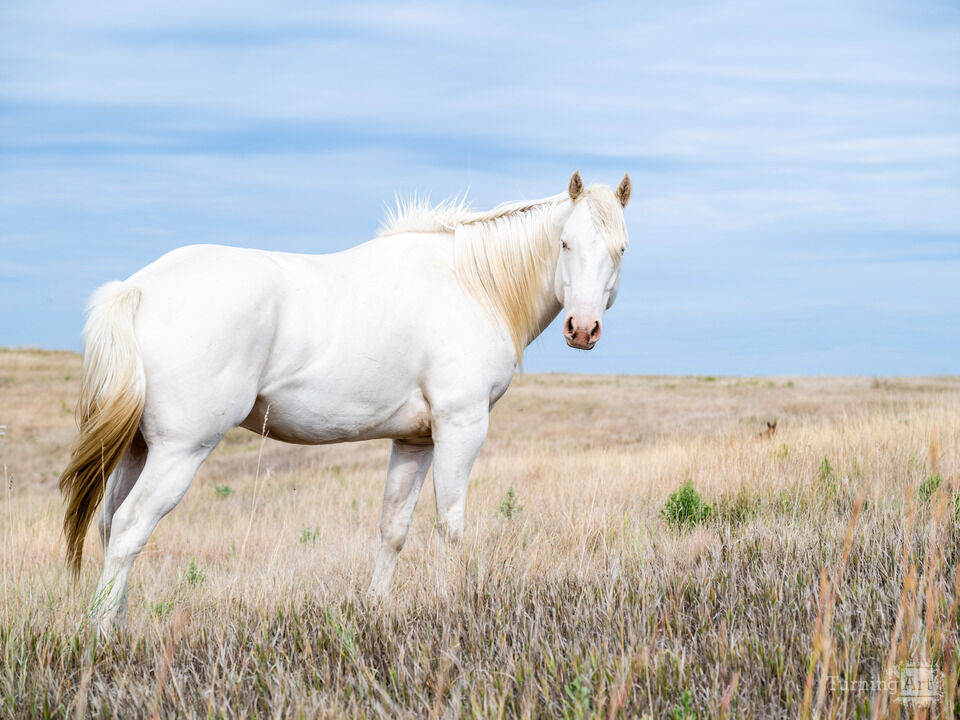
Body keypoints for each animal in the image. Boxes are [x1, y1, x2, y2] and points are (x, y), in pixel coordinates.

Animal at [58, 170, 632, 631]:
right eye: (565, 244)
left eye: (621, 248)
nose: (583, 329)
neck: (471, 284)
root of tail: (137, 290)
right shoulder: (461, 426)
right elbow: (450, 524)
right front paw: (452, 607)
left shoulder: (415, 440)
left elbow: (394, 527)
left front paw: (375, 609)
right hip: (180, 451)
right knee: (131, 528)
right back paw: (102, 635)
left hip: (138, 450)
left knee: (110, 525)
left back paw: (119, 624)